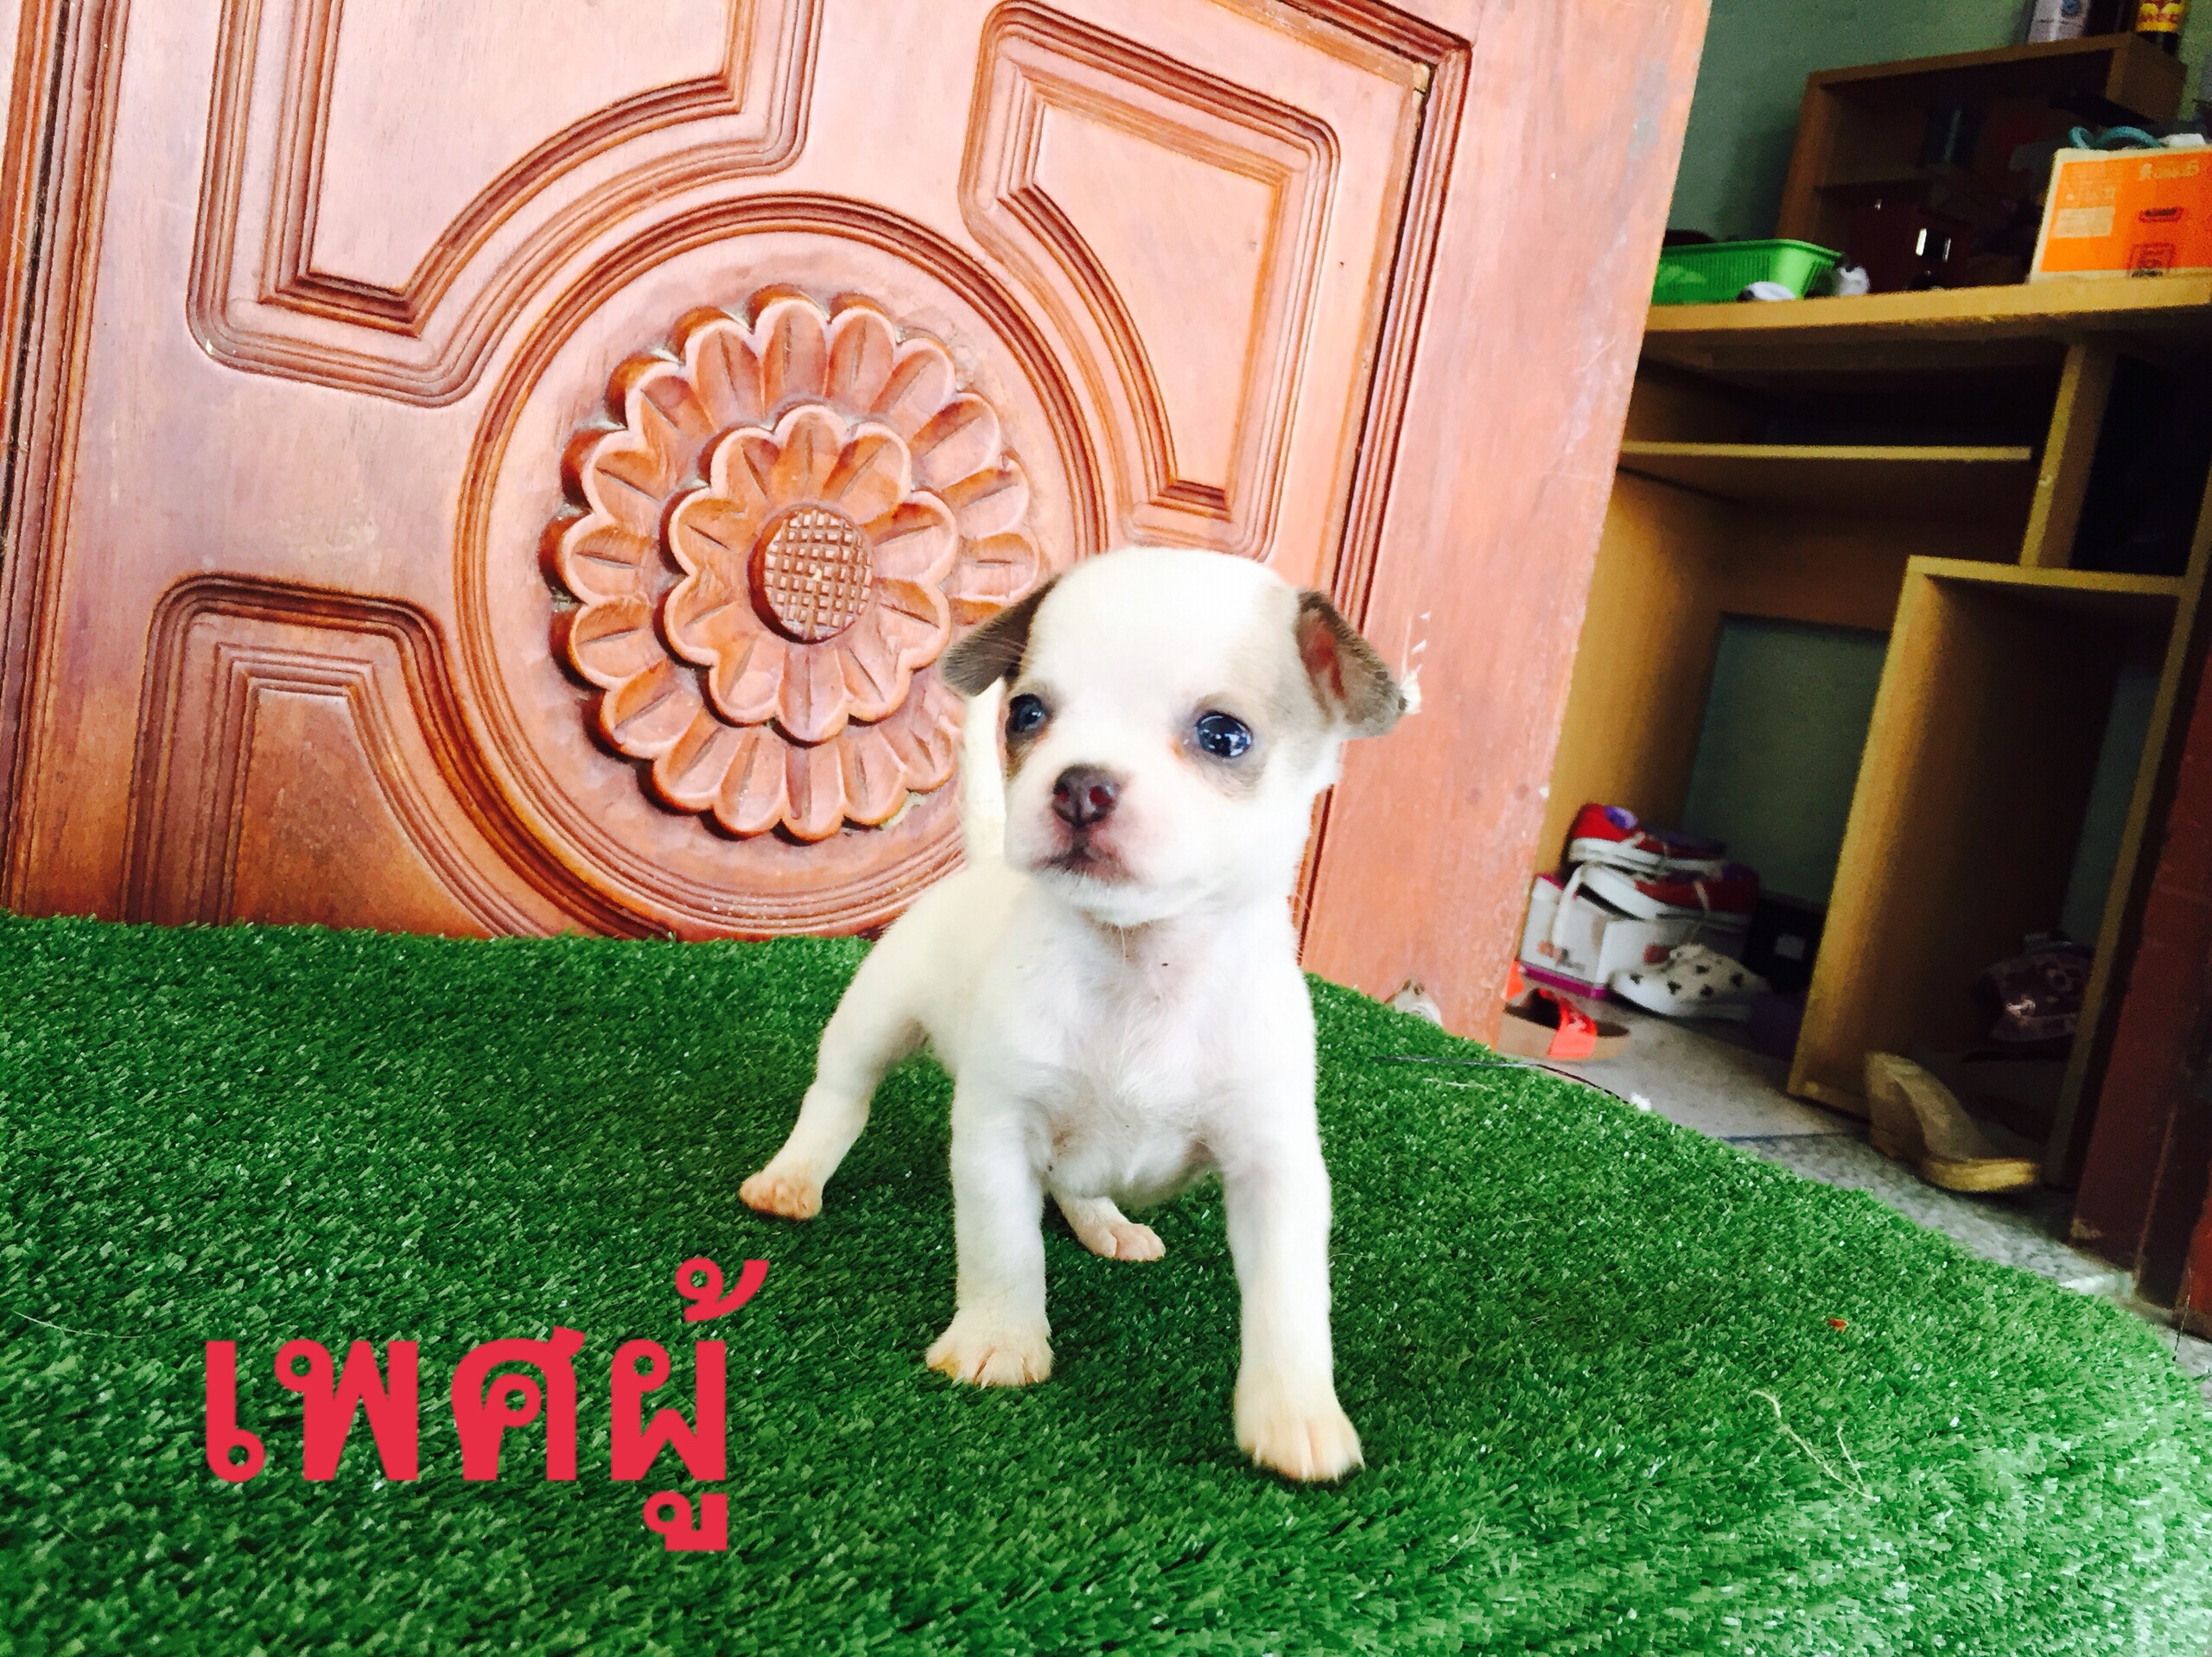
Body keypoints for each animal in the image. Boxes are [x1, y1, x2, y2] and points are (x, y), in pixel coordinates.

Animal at [739, 545, 1404, 1479]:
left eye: (1224, 735)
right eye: (1027, 713)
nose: (1079, 785)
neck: (1140, 969)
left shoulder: (1274, 1171)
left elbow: (1288, 1301)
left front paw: (1294, 1414)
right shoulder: (994, 1137)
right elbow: (1002, 1250)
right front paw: (998, 1341)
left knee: (1074, 1182)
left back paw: (1107, 1225)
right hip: (873, 1020)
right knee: (839, 1098)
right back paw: (794, 1177)